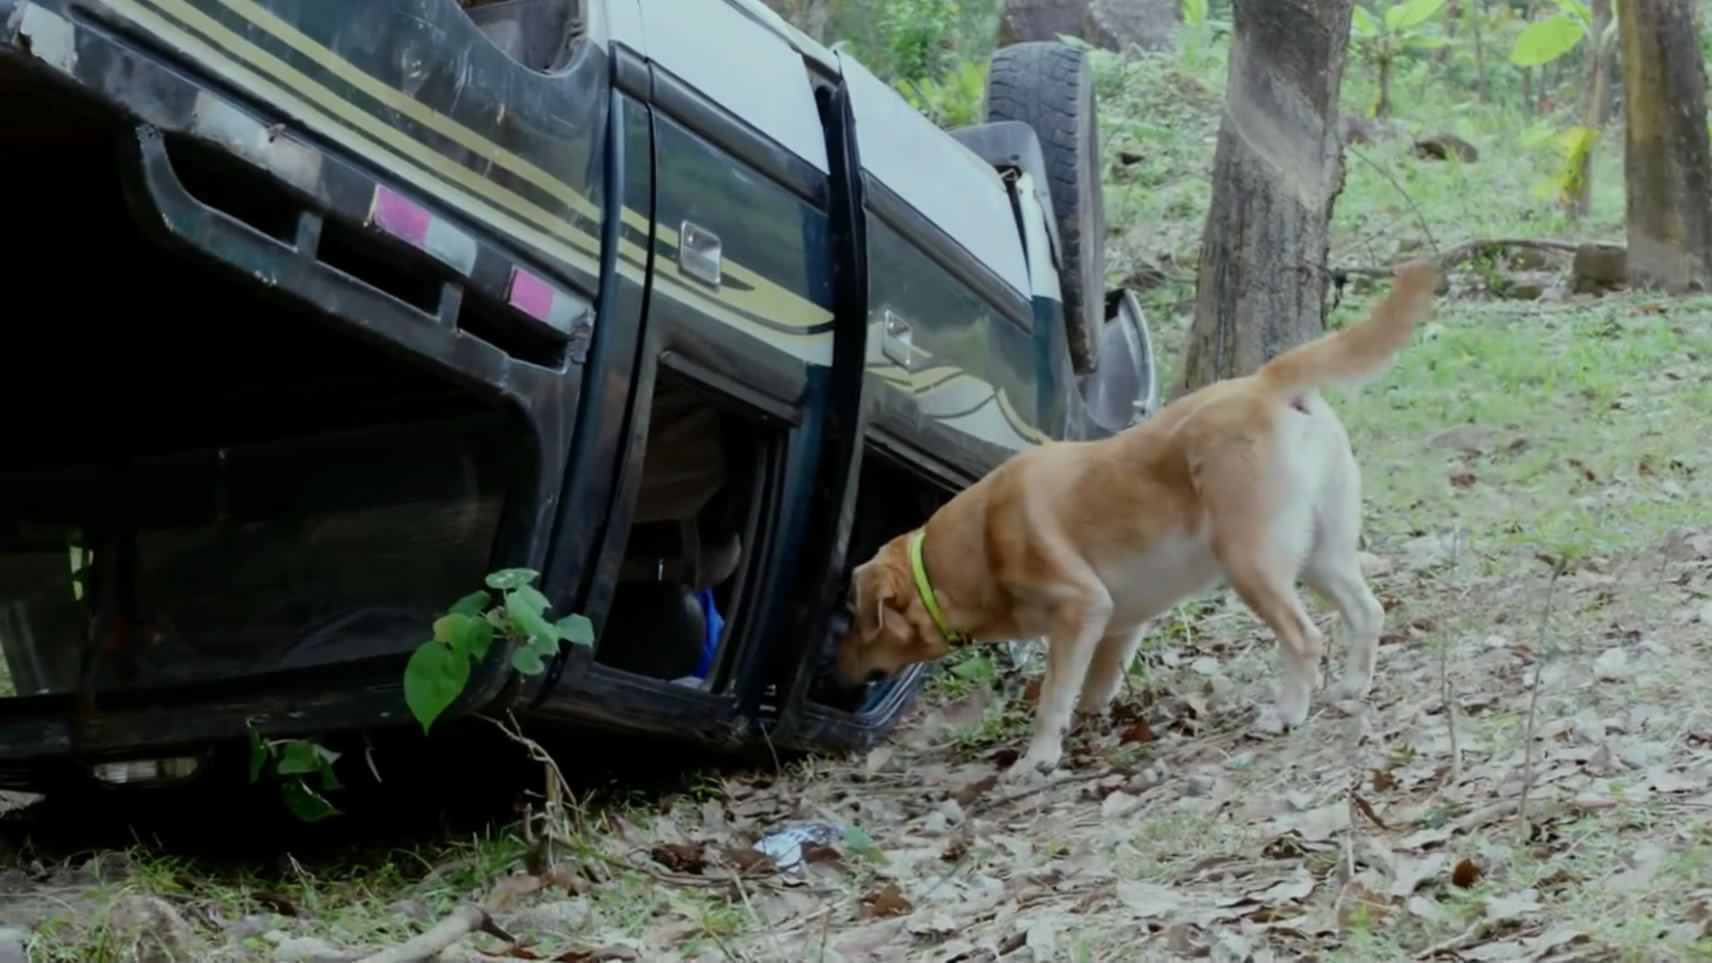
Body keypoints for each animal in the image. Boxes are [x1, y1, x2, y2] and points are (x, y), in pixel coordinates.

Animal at [835, 258, 1438, 774]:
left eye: (851, 616)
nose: (834, 665)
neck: (973, 547)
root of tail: (1268, 380)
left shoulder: (1079, 609)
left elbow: (1053, 696)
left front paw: (1037, 759)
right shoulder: (1121, 622)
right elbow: (1093, 686)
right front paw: (1086, 727)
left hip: (1251, 563)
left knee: (1305, 637)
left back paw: (1287, 713)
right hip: (1322, 553)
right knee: (1368, 611)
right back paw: (1351, 687)